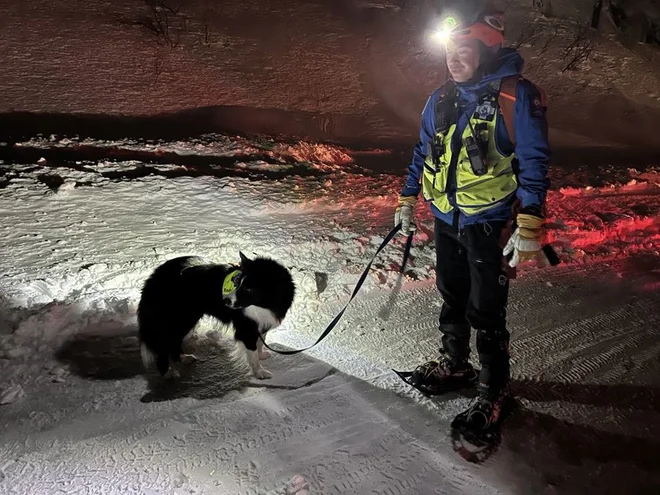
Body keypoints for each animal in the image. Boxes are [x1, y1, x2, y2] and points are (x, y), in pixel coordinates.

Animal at [138, 254, 296, 382]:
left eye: (249, 288)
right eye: (237, 282)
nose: (225, 301)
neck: (266, 304)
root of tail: (155, 274)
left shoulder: (262, 324)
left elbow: (260, 343)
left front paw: (261, 355)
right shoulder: (246, 328)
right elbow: (252, 352)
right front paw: (259, 372)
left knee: (173, 342)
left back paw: (183, 358)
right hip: (179, 318)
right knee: (165, 344)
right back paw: (168, 372)